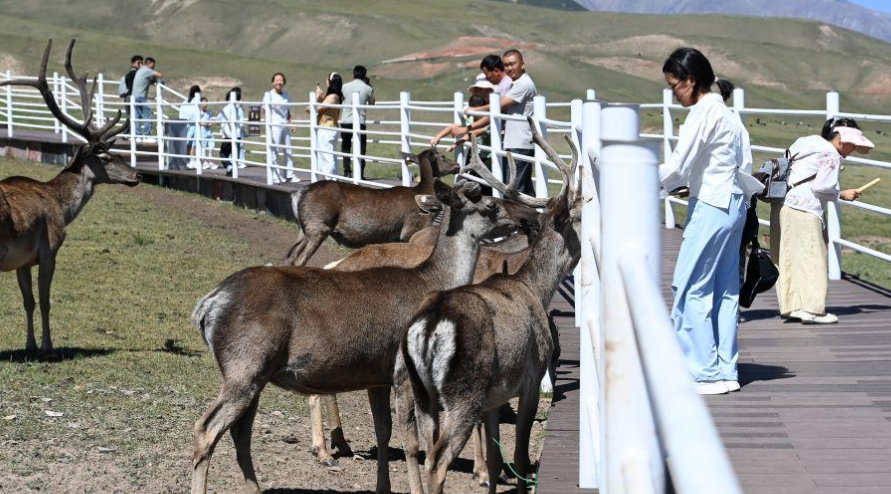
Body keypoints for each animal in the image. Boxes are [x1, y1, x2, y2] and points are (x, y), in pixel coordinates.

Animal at [0, 39, 139, 358]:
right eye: (105, 156)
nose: (137, 174)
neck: (63, 208)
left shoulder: (22, 260)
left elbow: (28, 301)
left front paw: (30, 346)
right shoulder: (49, 249)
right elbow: (45, 301)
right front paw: (48, 347)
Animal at [189, 174, 521, 494]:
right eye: (490, 204)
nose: (518, 222)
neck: (433, 280)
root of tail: (207, 305)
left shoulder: (377, 377)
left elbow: (384, 431)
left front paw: (382, 487)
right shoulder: (403, 371)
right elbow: (413, 443)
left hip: (255, 375)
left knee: (240, 432)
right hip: (245, 366)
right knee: (206, 428)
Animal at [286, 148, 460, 266]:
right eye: (442, 156)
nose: (457, 165)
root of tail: (297, 195)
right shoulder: (411, 229)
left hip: (304, 230)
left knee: (291, 257)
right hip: (318, 226)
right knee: (299, 260)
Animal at [400, 118, 587, 494]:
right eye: (579, 215)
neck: (534, 288)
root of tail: (428, 328)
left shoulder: (494, 399)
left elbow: (498, 457)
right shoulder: (530, 378)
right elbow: (519, 456)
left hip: (424, 390)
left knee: (425, 449)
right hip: (463, 391)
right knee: (437, 462)